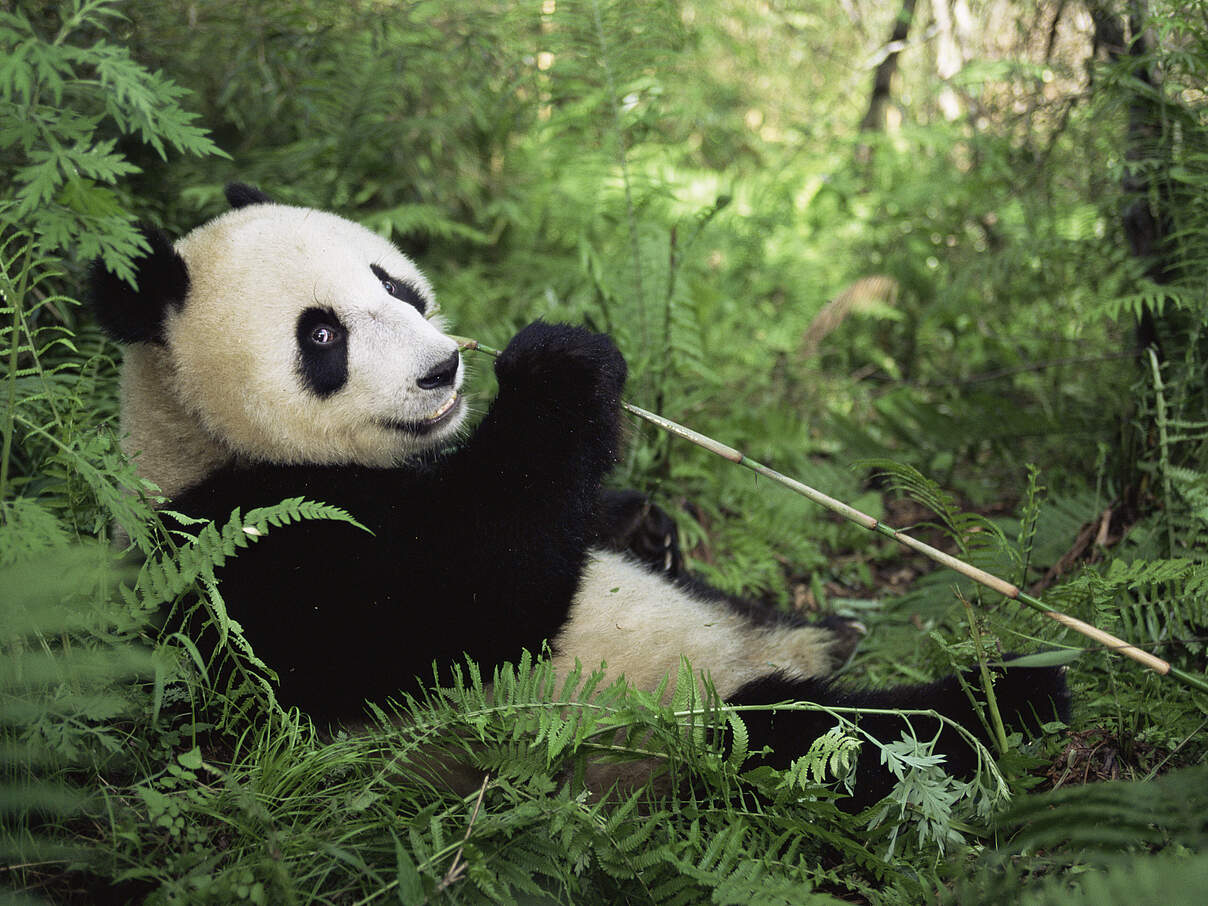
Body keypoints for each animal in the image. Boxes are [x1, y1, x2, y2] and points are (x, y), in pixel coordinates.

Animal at [89, 184, 1069, 808]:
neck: (197, 438)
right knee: (827, 740)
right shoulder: (248, 552)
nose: (443, 370)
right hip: (670, 728)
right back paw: (1010, 699)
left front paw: (643, 519)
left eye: (395, 284)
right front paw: (560, 367)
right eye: (321, 335)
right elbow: (469, 600)